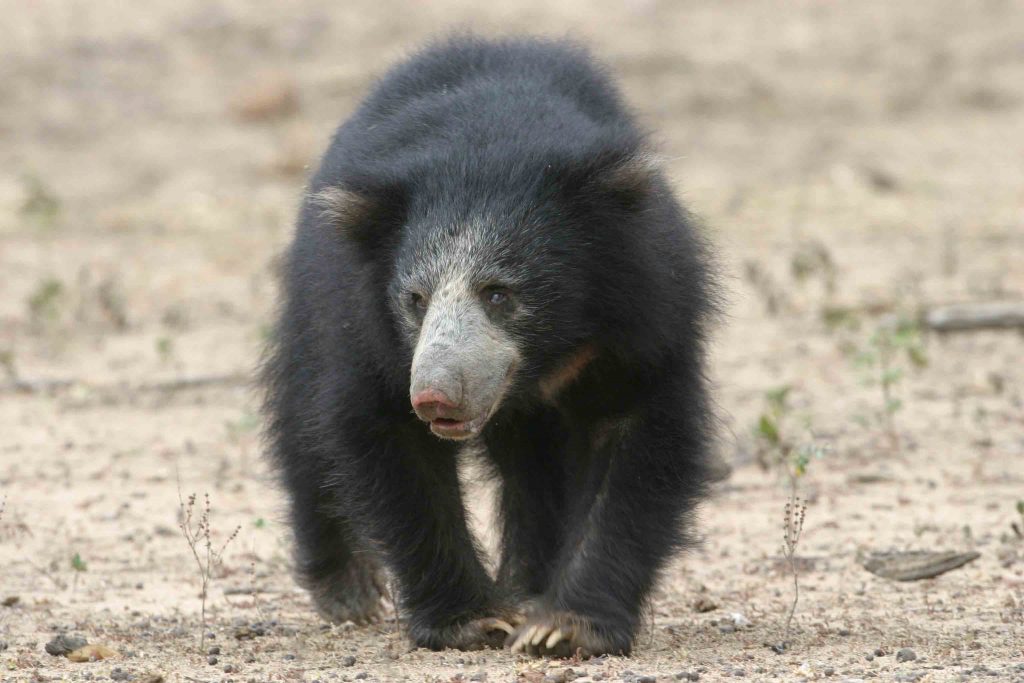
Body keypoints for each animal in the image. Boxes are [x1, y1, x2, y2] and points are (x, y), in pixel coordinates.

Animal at [260, 36, 716, 655]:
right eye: (415, 299)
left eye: (499, 293)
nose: (435, 396)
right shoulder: (361, 323)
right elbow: (387, 437)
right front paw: (473, 620)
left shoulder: (646, 315)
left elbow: (639, 443)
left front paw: (561, 626)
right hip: (310, 302)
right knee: (302, 420)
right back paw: (347, 587)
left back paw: (528, 585)